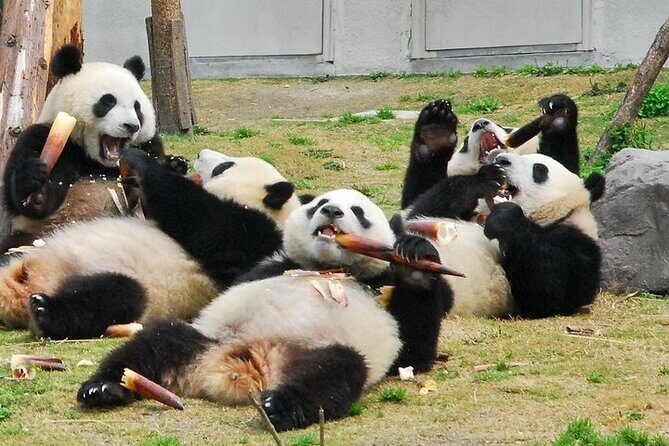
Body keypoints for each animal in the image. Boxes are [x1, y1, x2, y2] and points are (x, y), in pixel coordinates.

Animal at [0, 149, 301, 339]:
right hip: (26, 245)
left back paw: (44, 310)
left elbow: (198, 216)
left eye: (224, 167)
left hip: (137, 288)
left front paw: (141, 161)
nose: (201, 154)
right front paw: (167, 166)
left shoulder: (248, 237)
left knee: (110, 297)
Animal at [1, 45, 186, 252]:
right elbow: (18, 200)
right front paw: (38, 190)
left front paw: (174, 165)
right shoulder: (44, 137)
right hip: (36, 234)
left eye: (137, 107)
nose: (131, 126)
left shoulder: (149, 145)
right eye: (108, 101)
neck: (98, 163)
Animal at [77, 188, 454, 431]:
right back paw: (105, 388)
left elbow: (413, 353)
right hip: (205, 339)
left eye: (358, 212)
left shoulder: (380, 285)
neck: (329, 270)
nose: (332, 212)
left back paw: (279, 406)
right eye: (320, 203)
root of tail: (240, 367)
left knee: (336, 372)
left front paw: (416, 257)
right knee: (157, 341)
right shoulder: (271, 266)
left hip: (314, 352)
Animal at [405, 152, 604, 318]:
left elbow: (553, 292)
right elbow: (418, 212)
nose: (502, 159)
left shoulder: (578, 244)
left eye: (539, 170)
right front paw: (486, 178)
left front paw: (506, 218)